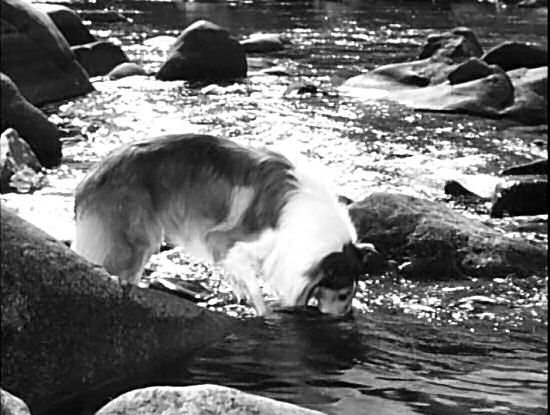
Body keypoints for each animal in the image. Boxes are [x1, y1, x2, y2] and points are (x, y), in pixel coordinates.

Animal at [73, 135, 366, 316]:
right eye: (343, 295)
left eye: (351, 294)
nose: (347, 316)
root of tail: (88, 179)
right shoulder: (225, 242)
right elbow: (255, 290)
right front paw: (265, 314)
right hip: (133, 244)